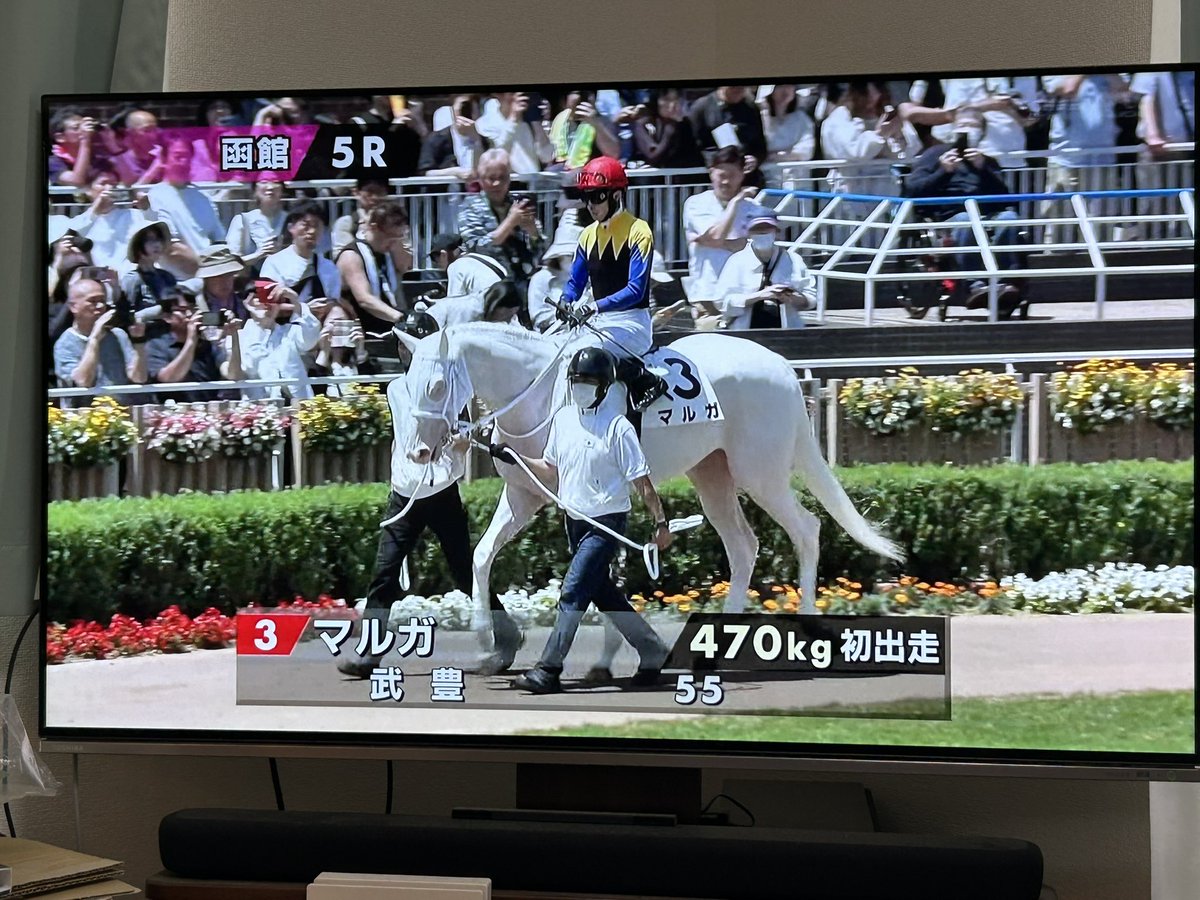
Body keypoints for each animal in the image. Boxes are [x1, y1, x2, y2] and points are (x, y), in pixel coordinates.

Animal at [394, 322, 903, 676]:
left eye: (435, 386)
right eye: (406, 382)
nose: (417, 452)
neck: (542, 396)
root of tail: (780, 366)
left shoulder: (577, 498)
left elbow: (595, 572)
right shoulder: (524, 493)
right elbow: (482, 556)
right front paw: (489, 645)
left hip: (761, 473)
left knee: (806, 529)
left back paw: (811, 626)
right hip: (712, 475)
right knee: (743, 547)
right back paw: (716, 649)